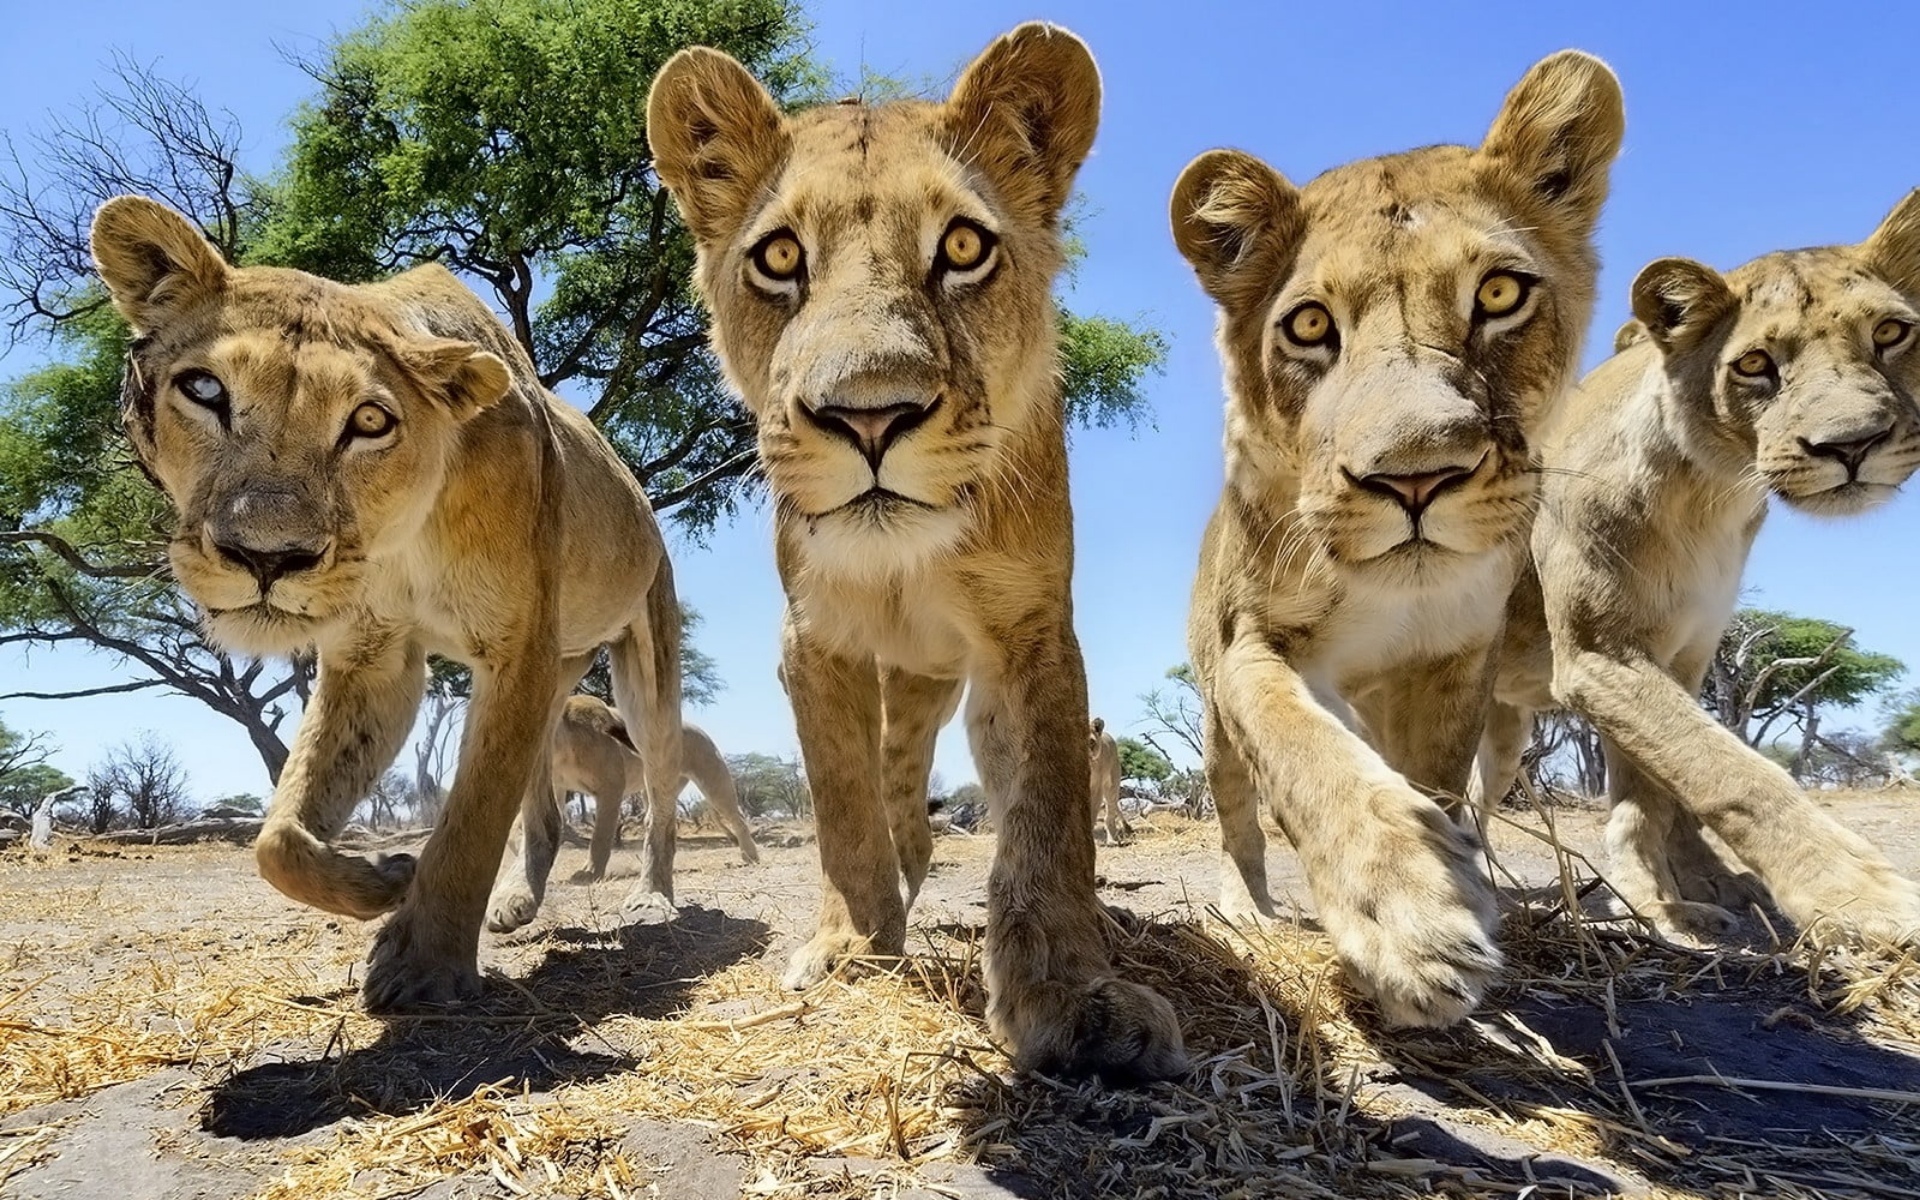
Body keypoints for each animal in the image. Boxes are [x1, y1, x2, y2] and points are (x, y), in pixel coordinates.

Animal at [1167, 51, 1620, 1021]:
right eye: (1309, 325)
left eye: (1499, 293)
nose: (1415, 476)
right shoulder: (1252, 645)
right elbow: (1305, 750)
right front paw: (1413, 913)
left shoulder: (1453, 662)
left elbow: (1437, 782)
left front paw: (1451, 876)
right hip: (1212, 714)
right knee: (1236, 812)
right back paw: (1247, 908)